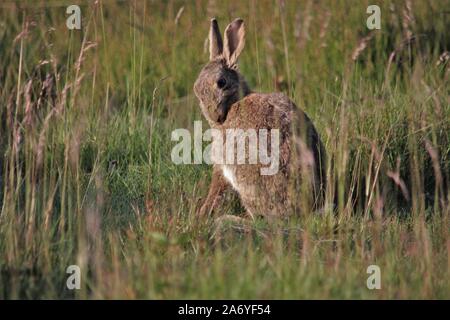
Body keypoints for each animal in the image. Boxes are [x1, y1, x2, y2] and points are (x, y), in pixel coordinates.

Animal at [193, 18, 326, 220]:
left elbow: (217, 187)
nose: (215, 115)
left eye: (221, 83)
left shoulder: (221, 163)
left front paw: (202, 213)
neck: (235, 101)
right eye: (197, 90)